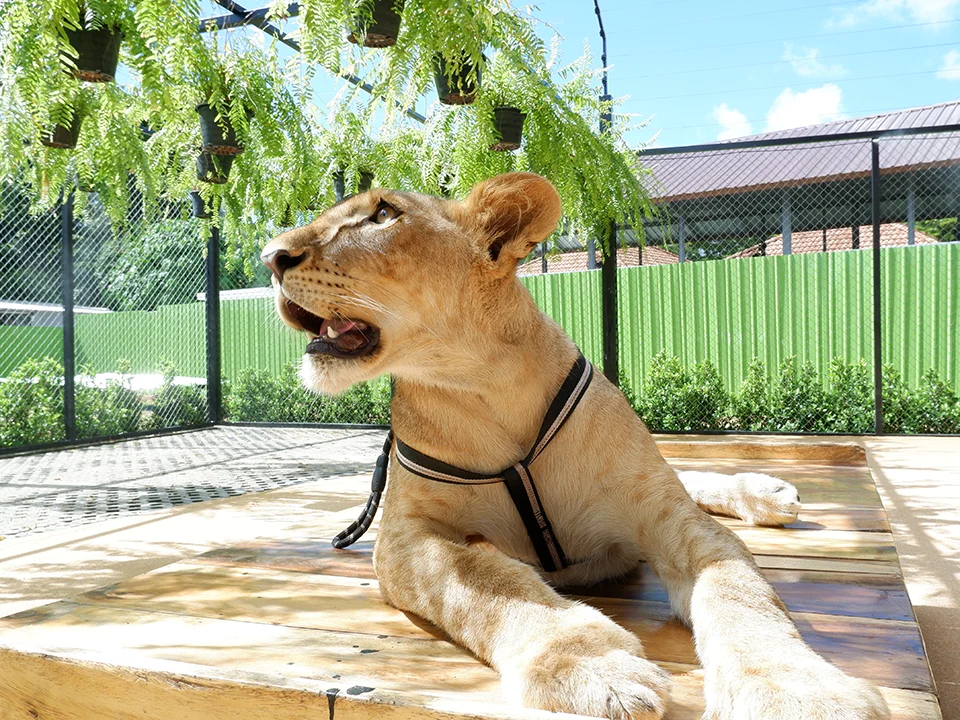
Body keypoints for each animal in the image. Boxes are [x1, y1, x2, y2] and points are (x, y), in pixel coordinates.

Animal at [260, 172, 889, 719]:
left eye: (384, 214)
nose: (270, 257)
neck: (478, 382)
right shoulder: (404, 538)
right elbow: (485, 584)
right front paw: (594, 666)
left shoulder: (664, 512)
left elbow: (741, 594)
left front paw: (802, 694)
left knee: (688, 479)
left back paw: (765, 492)